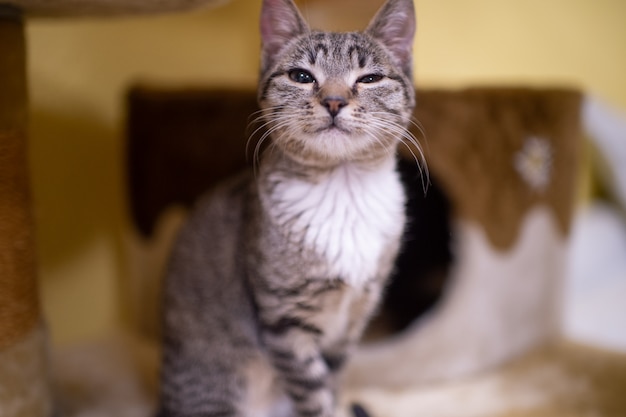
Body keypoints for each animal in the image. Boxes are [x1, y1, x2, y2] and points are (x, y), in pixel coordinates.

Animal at [158, 0, 416, 414]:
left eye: (370, 78)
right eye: (301, 76)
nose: (334, 100)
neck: (342, 189)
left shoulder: (352, 320)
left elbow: (332, 382)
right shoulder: (283, 320)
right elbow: (313, 392)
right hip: (213, 379)